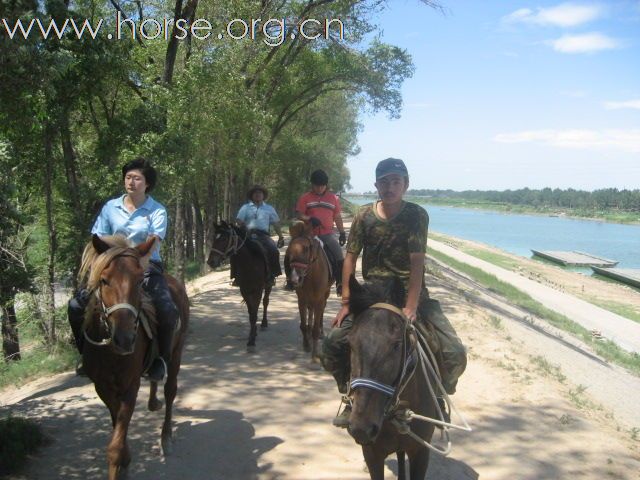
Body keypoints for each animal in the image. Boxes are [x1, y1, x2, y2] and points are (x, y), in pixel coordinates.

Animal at [79, 234, 189, 478]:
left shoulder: (130, 386)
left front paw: (122, 463)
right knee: (156, 379)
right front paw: (126, 463)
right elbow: (117, 428)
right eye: (104, 280)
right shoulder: (103, 388)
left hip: (176, 353)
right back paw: (153, 401)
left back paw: (166, 438)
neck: (109, 351)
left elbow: (115, 446)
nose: (125, 339)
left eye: (140, 281)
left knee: (170, 390)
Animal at [286, 219, 336, 358]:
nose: (294, 279)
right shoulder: (301, 300)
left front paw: (315, 352)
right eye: (290, 249)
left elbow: (315, 326)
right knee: (311, 311)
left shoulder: (319, 299)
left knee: (321, 311)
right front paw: (306, 344)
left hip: (325, 294)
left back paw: (321, 331)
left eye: (306, 248)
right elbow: (303, 325)